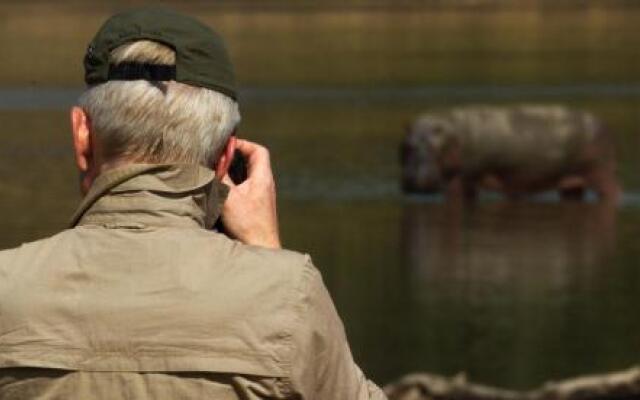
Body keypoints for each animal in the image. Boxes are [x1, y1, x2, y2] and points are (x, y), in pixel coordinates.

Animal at [400, 104, 620, 202]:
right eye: (406, 146)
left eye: (433, 146)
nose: (414, 180)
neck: (452, 133)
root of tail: (604, 124)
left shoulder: (462, 178)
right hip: (572, 182)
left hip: (601, 173)